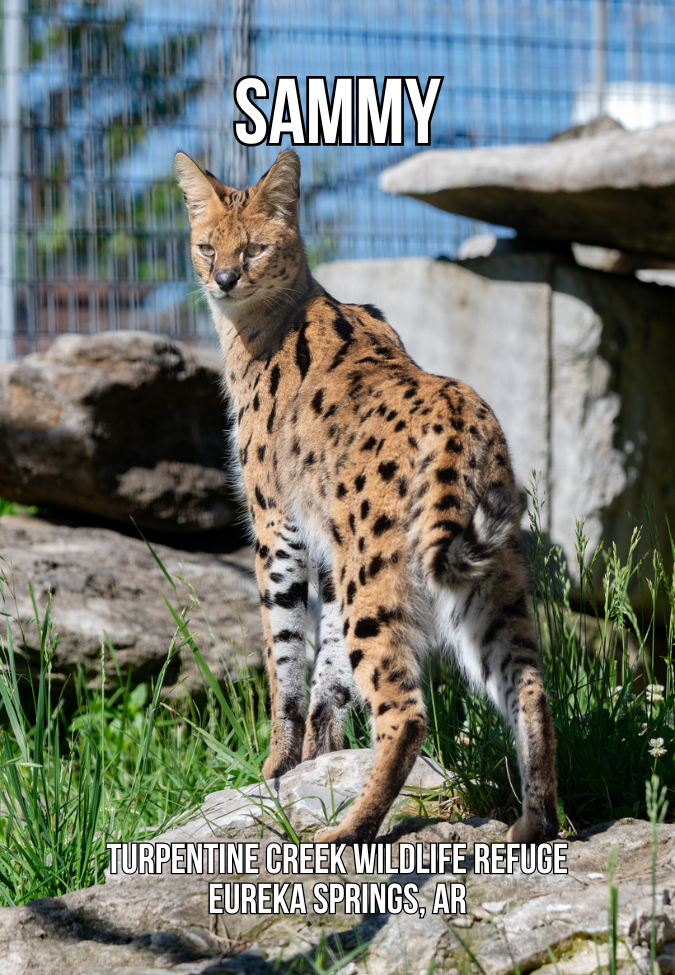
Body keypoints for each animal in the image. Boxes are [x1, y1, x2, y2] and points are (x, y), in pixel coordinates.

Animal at [176, 147, 560, 848]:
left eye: (254, 249)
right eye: (205, 245)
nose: (222, 279)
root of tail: (458, 411)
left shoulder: (277, 529)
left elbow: (284, 659)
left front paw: (277, 769)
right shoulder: (326, 545)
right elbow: (326, 673)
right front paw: (316, 764)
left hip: (376, 575)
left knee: (406, 712)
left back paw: (348, 830)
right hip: (489, 577)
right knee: (528, 686)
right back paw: (533, 823)